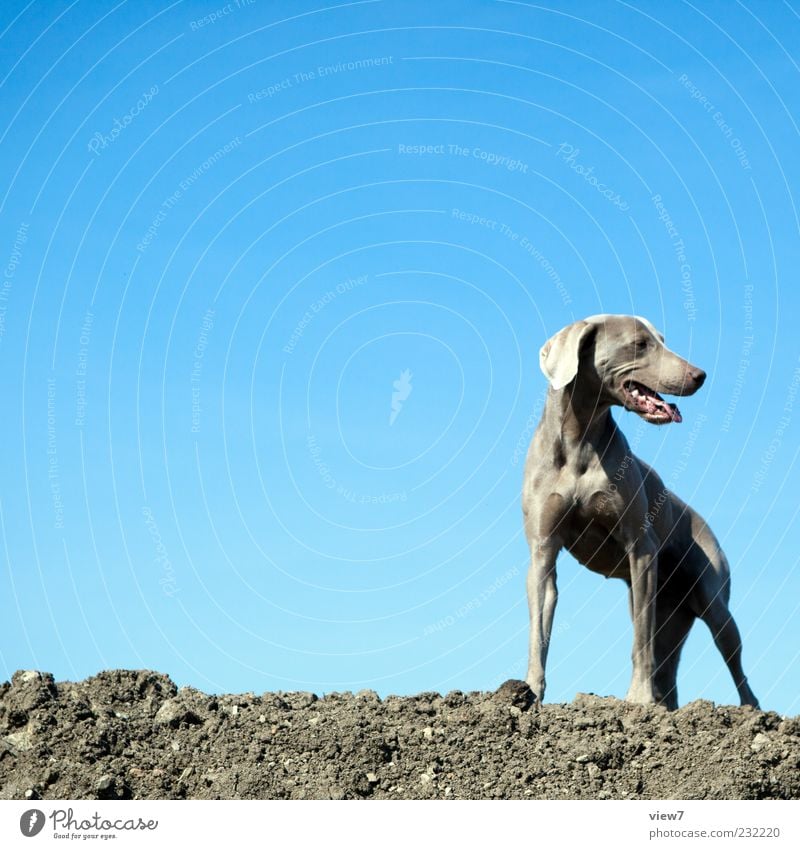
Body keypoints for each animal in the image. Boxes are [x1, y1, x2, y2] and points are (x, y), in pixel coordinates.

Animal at [520, 314, 760, 708]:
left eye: (663, 340)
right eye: (640, 344)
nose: (700, 375)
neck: (579, 439)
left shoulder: (642, 549)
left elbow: (640, 642)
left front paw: (638, 698)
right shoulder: (543, 548)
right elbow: (539, 628)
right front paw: (529, 695)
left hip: (715, 601)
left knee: (736, 666)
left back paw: (749, 711)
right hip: (672, 614)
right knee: (668, 670)